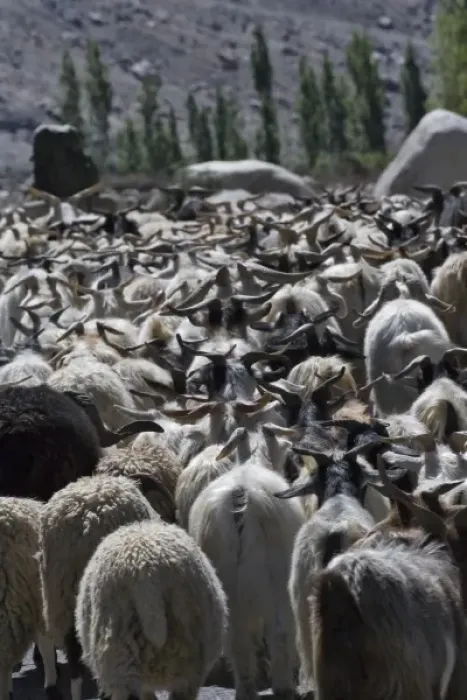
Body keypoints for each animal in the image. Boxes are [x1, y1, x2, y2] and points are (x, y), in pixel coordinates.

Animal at [188, 462, 306, 700]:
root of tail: (241, 492)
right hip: (278, 579)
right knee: (278, 632)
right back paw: (283, 687)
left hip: (227, 583)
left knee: (237, 638)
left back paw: (246, 689)